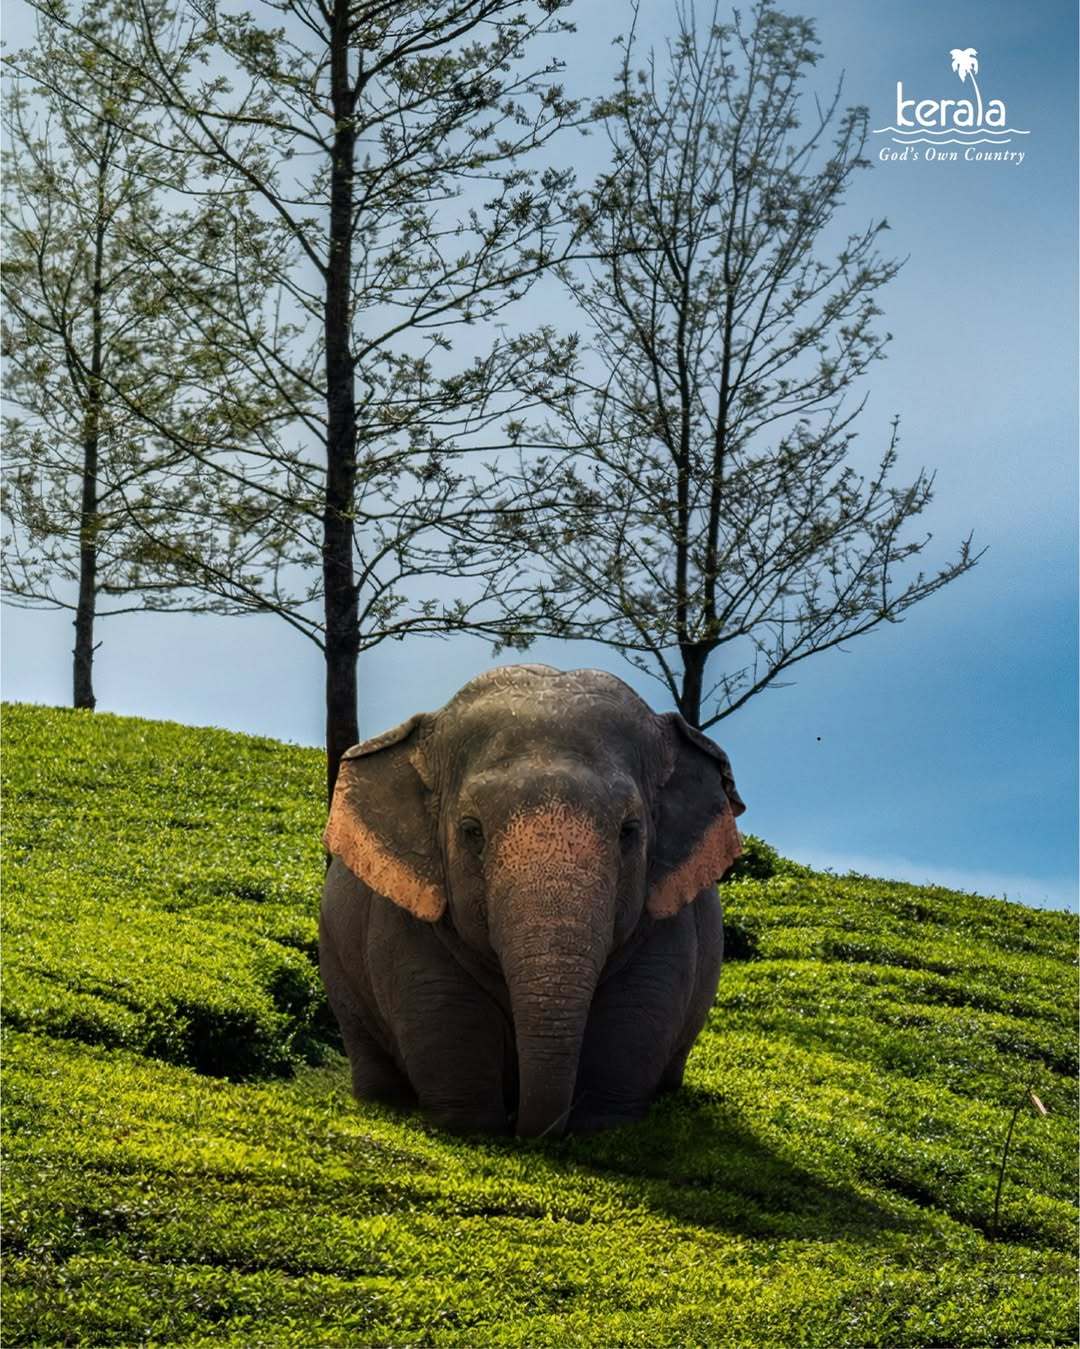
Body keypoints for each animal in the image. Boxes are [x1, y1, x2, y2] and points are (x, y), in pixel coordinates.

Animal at [319, 664, 745, 1138]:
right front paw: (474, 1128)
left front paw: (600, 1130)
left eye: (630, 832)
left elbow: (635, 1008)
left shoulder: (667, 915)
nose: (521, 1125)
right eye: (471, 831)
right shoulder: (407, 913)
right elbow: (443, 1007)